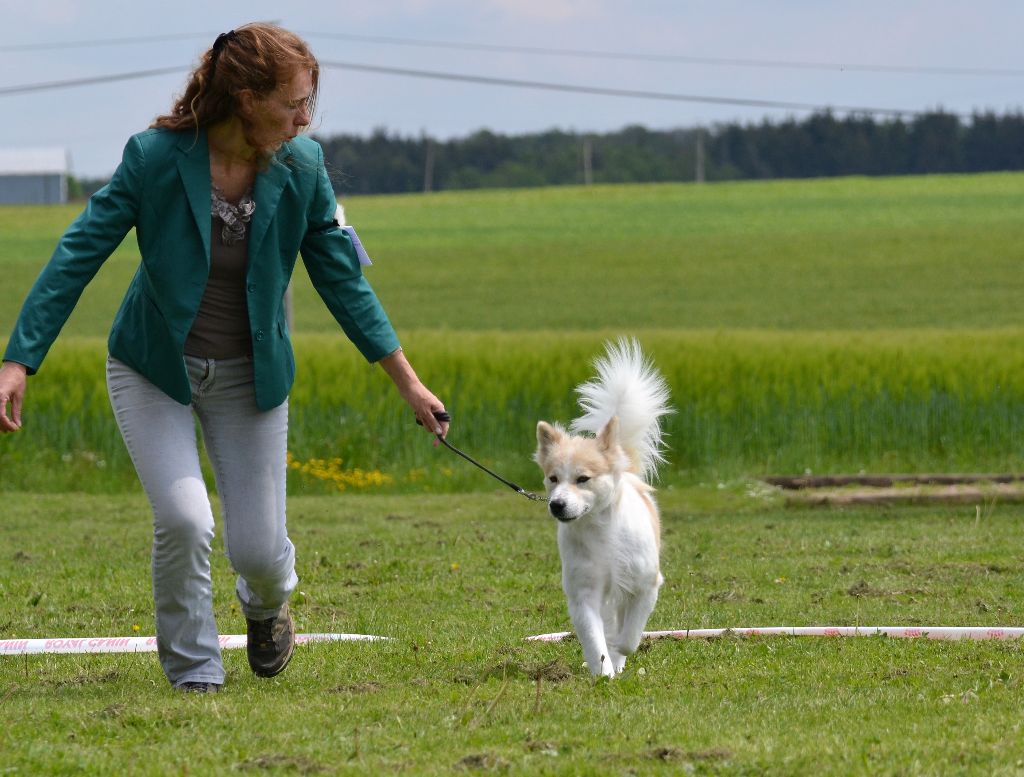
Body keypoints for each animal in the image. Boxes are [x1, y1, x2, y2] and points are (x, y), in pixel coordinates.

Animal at [536, 337, 671, 679]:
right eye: (553, 478)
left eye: (583, 479)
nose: (557, 505)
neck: (601, 532)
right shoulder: (583, 593)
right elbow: (594, 637)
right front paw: (603, 672)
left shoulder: (645, 586)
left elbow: (629, 637)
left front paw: (619, 653)